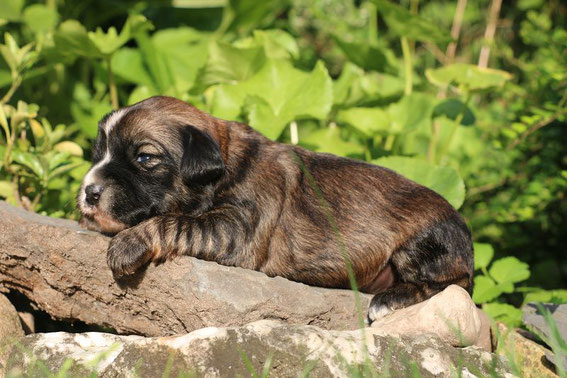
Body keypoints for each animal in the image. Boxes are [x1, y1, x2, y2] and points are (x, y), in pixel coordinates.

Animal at [76, 95, 474, 322]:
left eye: (145, 158)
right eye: (99, 152)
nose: (89, 192)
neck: (223, 165)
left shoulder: (234, 231)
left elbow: (172, 221)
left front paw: (128, 244)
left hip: (423, 241)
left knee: (453, 284)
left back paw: (389, 300)